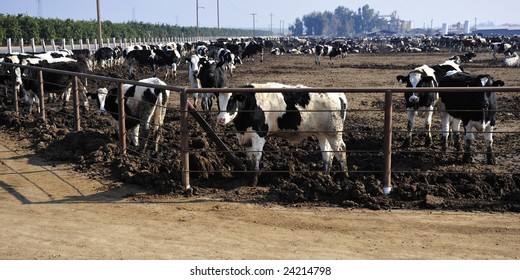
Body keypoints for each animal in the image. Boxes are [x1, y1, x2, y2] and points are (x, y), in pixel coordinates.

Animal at [215, 81, 350, 186]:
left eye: (232, 101)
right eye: (218, 102)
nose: (220, 119)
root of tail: (338, 94)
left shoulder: (259, 135)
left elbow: (256, 156)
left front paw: (253, 181)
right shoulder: (246, 138)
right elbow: (250, 158)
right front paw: (250, 178)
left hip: (334, 132)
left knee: (340, 149)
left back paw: (345, 177)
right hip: (322, 133)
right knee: (327, 153)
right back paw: (324, 177)